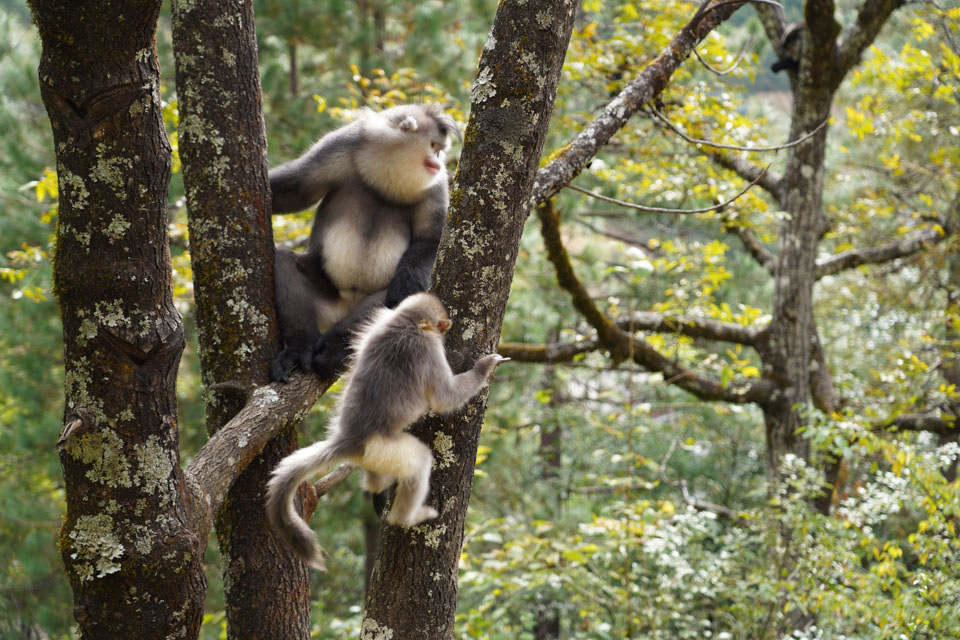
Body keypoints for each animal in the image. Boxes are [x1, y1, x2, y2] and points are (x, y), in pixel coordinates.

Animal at [262, 292, 502, 568]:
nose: (445, 329)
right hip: (383, 448)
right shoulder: (429, 349)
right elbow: (445, 398)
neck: (404, 324)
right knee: (420, 460)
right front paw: (484, 368)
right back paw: (405, 517)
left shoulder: (376, 325)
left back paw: (376, 485)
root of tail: (349, 438)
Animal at [266, 104, 462, 382]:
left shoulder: (436, 185)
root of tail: (345, 306)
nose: (437, 161)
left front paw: (408, 281)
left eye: (439, 149)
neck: (389, 173)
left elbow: (431, 240)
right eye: (433, 145)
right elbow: (296, 190)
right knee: (284, 260)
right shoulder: (341, 145)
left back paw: (333, 350)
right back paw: (298, 349)